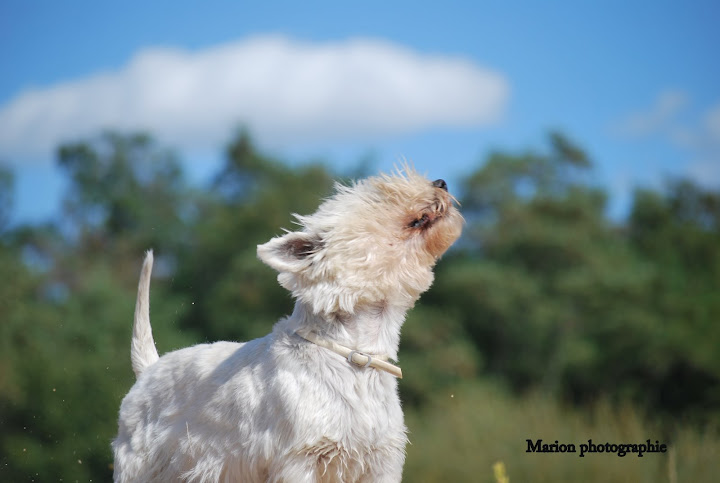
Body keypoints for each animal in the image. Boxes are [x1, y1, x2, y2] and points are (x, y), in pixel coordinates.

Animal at [111, 168, 462, 482]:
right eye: (380, 196)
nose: (442, 182)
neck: (355, 353)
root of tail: (149, 369)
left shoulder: (381, 460)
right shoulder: (299, 459)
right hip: (140, 465)